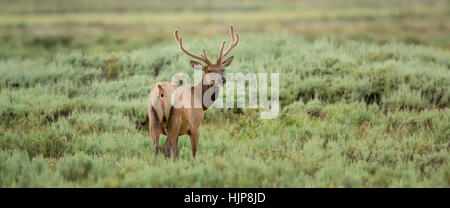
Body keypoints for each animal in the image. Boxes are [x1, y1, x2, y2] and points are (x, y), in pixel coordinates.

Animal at [147, 24, 239, 159]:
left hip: (152, 120)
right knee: (167, 149)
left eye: (223, 69)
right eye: (208, 70)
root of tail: (160, 90)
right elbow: (194, 153)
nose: (223, 80)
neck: (199, 99)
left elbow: (177, 151)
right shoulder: (195, 126)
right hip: (174, 121)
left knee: (155, 149)